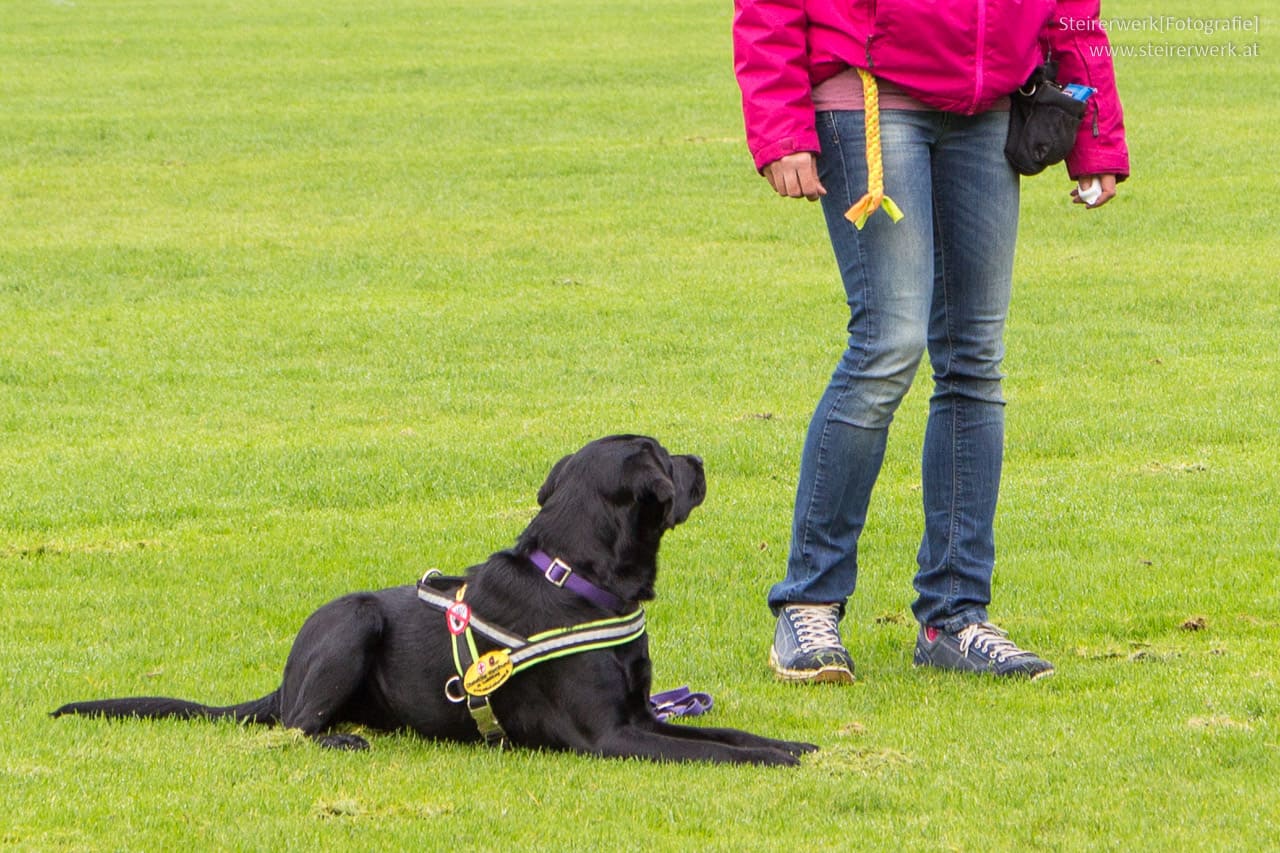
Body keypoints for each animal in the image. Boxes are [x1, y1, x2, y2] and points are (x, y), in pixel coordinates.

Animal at [52, 432, 819, 763]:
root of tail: (283, 679)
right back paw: (341, 738)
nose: (701, 461)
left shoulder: (643, 714)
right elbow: (720, 753)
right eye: (665, 456)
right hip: (352, 617)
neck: (575, 580)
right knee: (294, 725)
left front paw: (791, 743)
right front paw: (778, 761)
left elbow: (728, 735)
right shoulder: (611, 735)